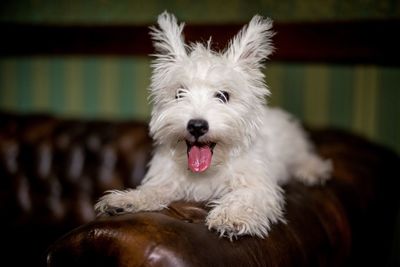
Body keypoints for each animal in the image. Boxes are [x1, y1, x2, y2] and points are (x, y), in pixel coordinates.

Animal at [94, 11, 332, 240]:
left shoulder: (257, 184)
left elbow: (244, 196)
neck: (209, 169)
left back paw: (314, 170)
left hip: (293, 146)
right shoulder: (167, 179)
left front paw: (231, 217)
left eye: (223, 95)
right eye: (179, 93)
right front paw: (126, 199)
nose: (197, 126)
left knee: (303, 157)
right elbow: (153, 190)